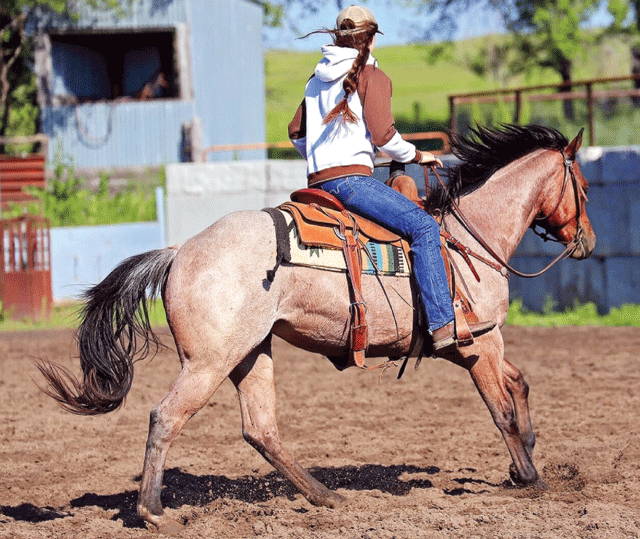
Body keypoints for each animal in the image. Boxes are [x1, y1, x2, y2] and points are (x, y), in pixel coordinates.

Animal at [37, 124, 596, 534]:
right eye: (585, 189)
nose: (587, 241)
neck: (467, 239)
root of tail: (180, 251)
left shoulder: (483, 344)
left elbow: (519, 384)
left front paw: (525, 457)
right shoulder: (477, 342)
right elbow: (501, 409)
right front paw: (531, 477)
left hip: (250, 353)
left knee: (260, 429)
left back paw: (323, 495)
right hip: (208, 362)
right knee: (166, 416)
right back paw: (153, 512)